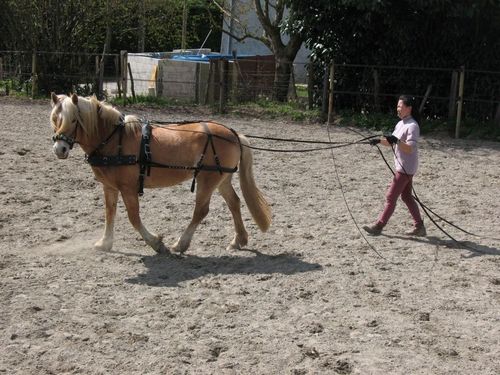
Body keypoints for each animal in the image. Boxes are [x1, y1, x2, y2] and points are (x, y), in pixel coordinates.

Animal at [48, 92, 272, 254]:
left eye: (74, 120)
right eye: (54, 119)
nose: (60, 149)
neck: (113, 139)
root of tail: (234, 134)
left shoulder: (128, 188)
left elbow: (133, 217)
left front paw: (156, 243)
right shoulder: (109, 186)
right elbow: (109, 213)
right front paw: (105, 243)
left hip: (208, 179)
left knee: (201, 211)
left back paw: (180, 244)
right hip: (221, 178)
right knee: (234, 202)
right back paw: (238, 240)